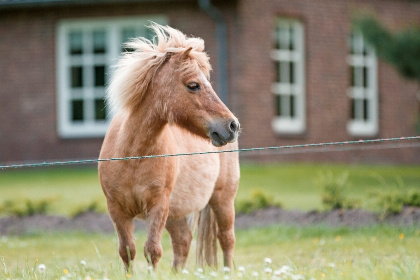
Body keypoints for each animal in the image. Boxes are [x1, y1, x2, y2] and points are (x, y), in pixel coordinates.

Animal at [97, 24, 240, 272]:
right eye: (193, 85)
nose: (232, 126)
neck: (132, 156)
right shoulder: (117, 210)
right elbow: (127, 251)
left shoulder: (158, 206)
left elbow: (152, 251)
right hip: (176, 213)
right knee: (183, 242)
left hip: (222, 199)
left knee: (226, 239)